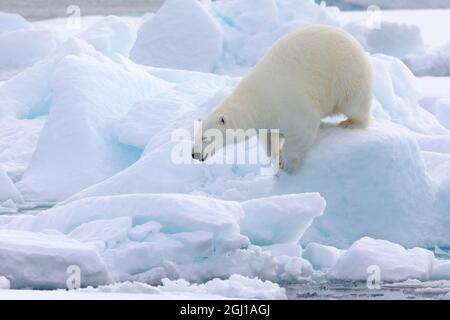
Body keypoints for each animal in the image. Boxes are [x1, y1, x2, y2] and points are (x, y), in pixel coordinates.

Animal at [193, 25, 372, 174]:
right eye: (195, 135)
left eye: (205, 137)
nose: (194, 154)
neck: (258, 100)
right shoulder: (268, 121)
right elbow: (269, 139)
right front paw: (276, 156)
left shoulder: (290, 106)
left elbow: (302, 132)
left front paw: (287, 163)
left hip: (347, 73)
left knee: (354, 103)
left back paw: (350, 123)